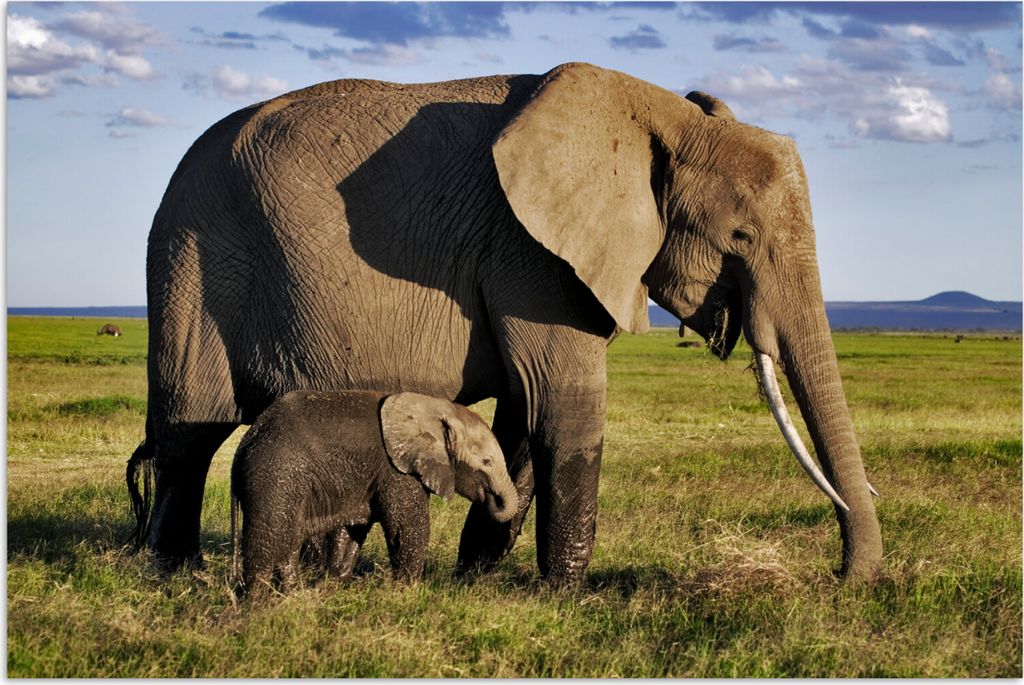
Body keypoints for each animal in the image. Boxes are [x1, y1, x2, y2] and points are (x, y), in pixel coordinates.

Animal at [230, 390, 517, 594]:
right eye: (486, 462)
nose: (491, 499)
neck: (434, 408)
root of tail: (246, 442)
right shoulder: (397, 470)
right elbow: (409, 528)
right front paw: (406, 592)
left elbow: (352, 531)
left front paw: (333, 584)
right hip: (274, 476)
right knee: (269, 541)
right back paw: (257, 606)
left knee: (288, 542)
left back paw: (292, 596)